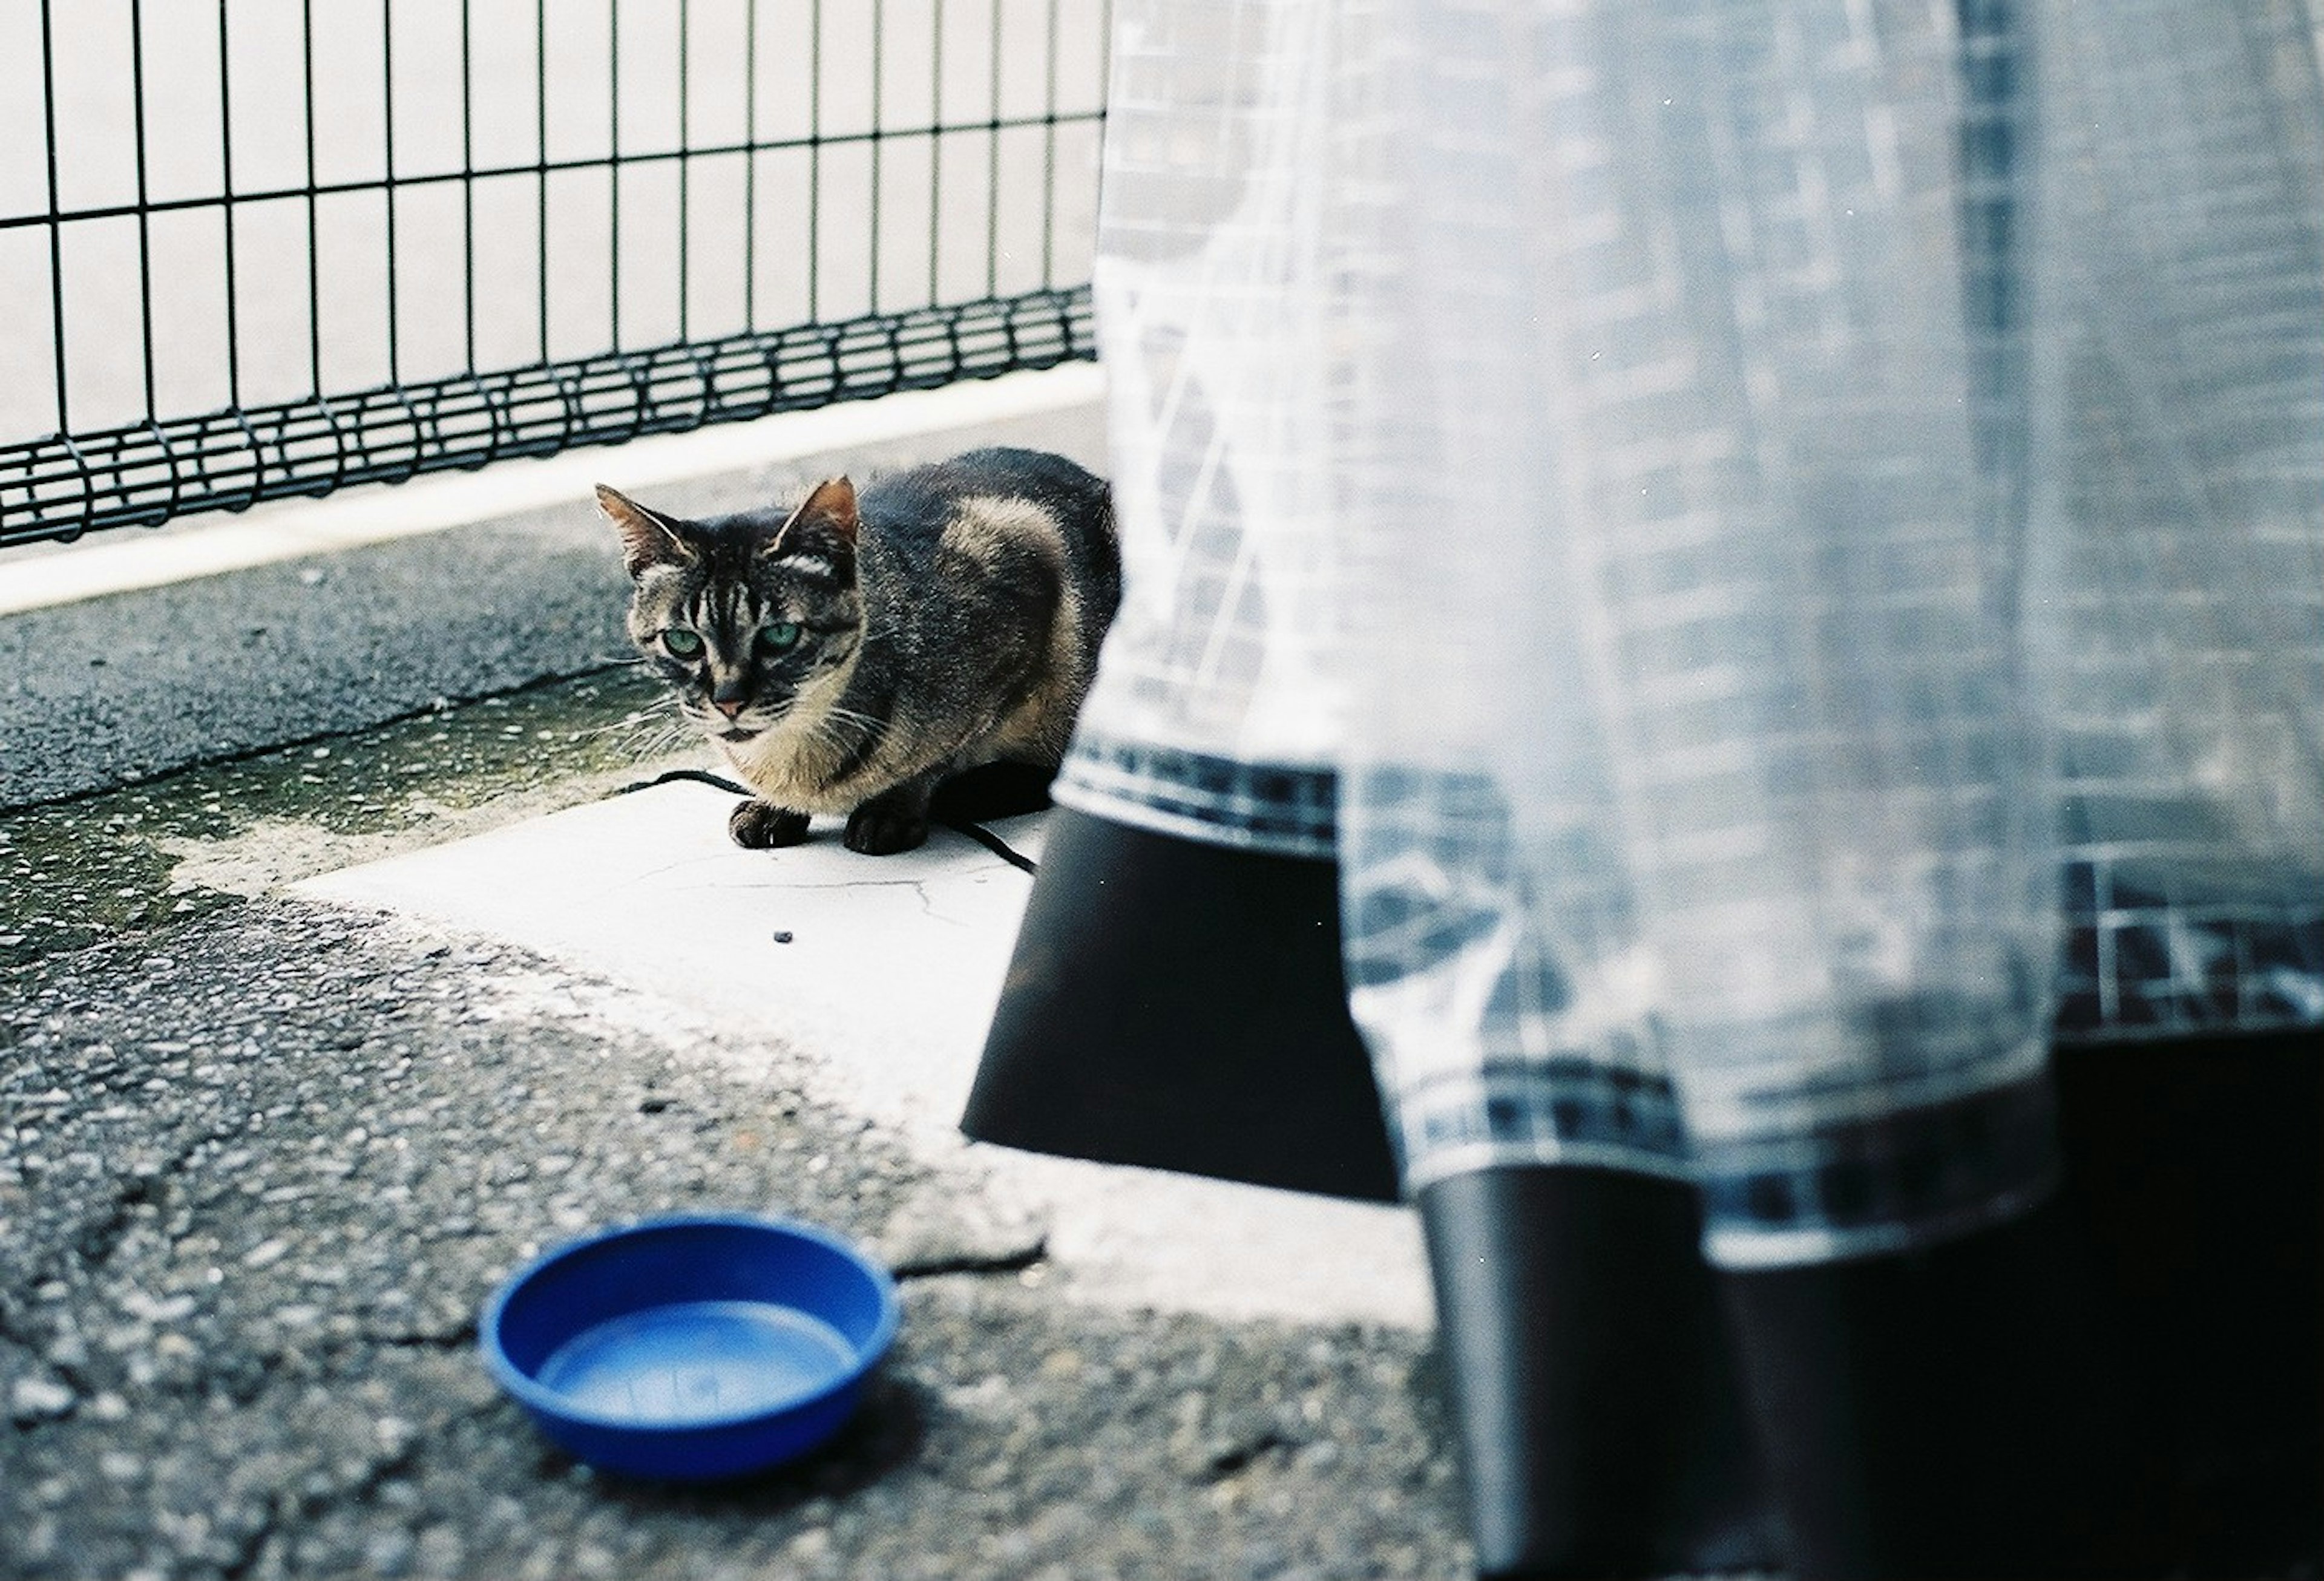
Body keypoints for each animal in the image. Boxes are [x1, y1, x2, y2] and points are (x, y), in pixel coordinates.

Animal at [595, 451, 1111, 851]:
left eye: (780, 635)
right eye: (683, 640)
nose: (728, 700)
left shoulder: (1031, 556)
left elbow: (941, 753)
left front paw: (894, 806)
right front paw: (774, 807)